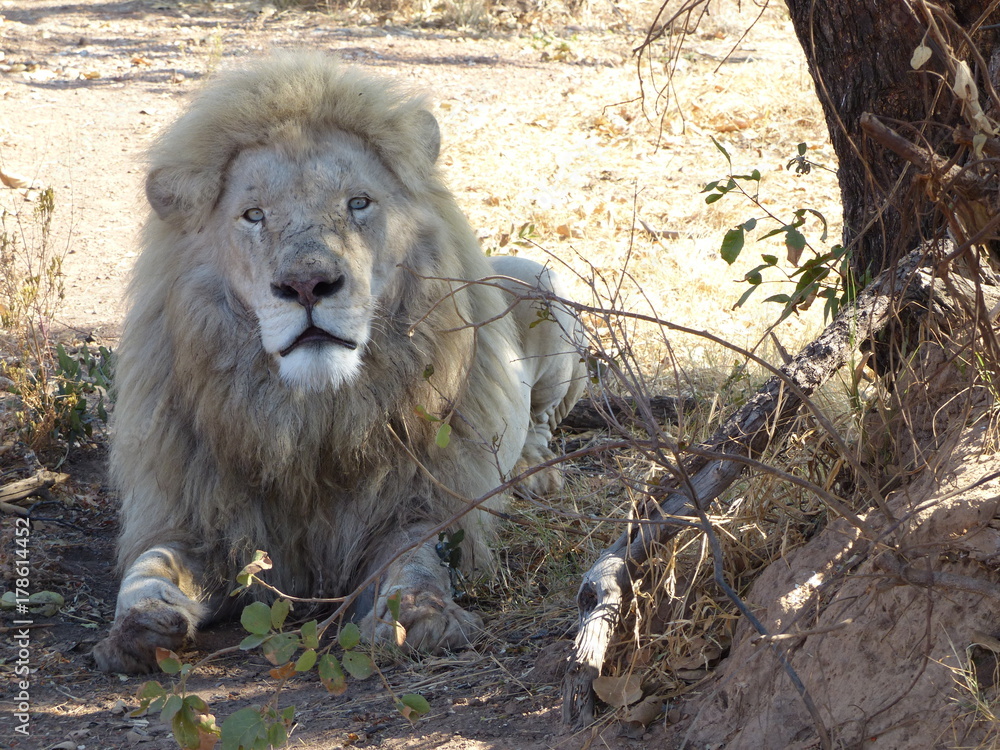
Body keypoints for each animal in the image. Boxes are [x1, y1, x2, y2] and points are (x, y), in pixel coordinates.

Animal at [92, 52, 586, 674]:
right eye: (253, 215)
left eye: (358, 202)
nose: (307, 284)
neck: (312, 417)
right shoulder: (195, 520)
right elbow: (148, 565)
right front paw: (136, 627)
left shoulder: (421, 508)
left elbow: (417, 561)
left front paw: (419, 618)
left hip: (543, 288)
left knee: (544, 419)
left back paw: (537, 471)